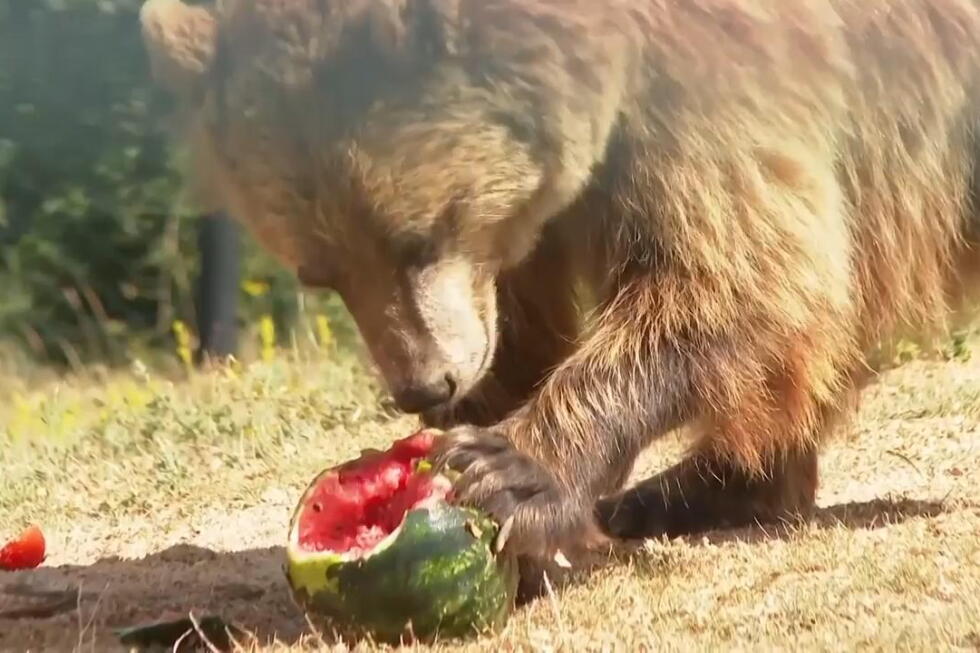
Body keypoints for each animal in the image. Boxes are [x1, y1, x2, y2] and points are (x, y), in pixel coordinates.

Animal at [140, 0, 980, 595]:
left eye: (419, 235)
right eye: (322, 271)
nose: (425, 385)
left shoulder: (713, 82)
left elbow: (740, 273)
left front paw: (510, 470)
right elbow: (522, 315)